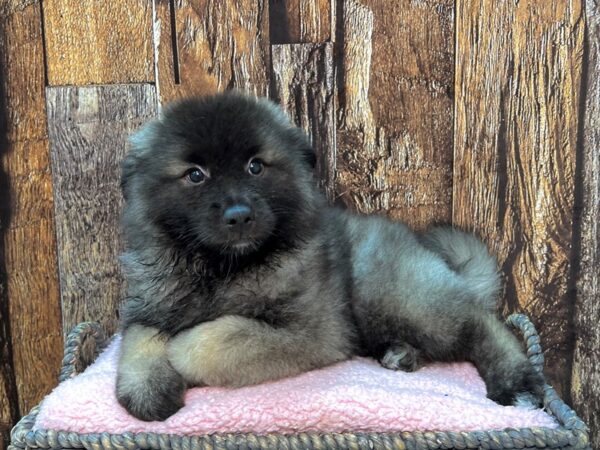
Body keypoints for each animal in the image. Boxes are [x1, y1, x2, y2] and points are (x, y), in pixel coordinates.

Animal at [116, 91, 544, 422]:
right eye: (195, 175)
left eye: (255, 167)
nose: (238, 215)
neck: (219, 267)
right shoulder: (149, 305)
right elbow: (138, 338)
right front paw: (145, 386)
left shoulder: (311, 331)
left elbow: (215, 339)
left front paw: (179, 350)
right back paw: (401, 355)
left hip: (389, 291)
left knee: (481, 323)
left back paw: (514, 382)